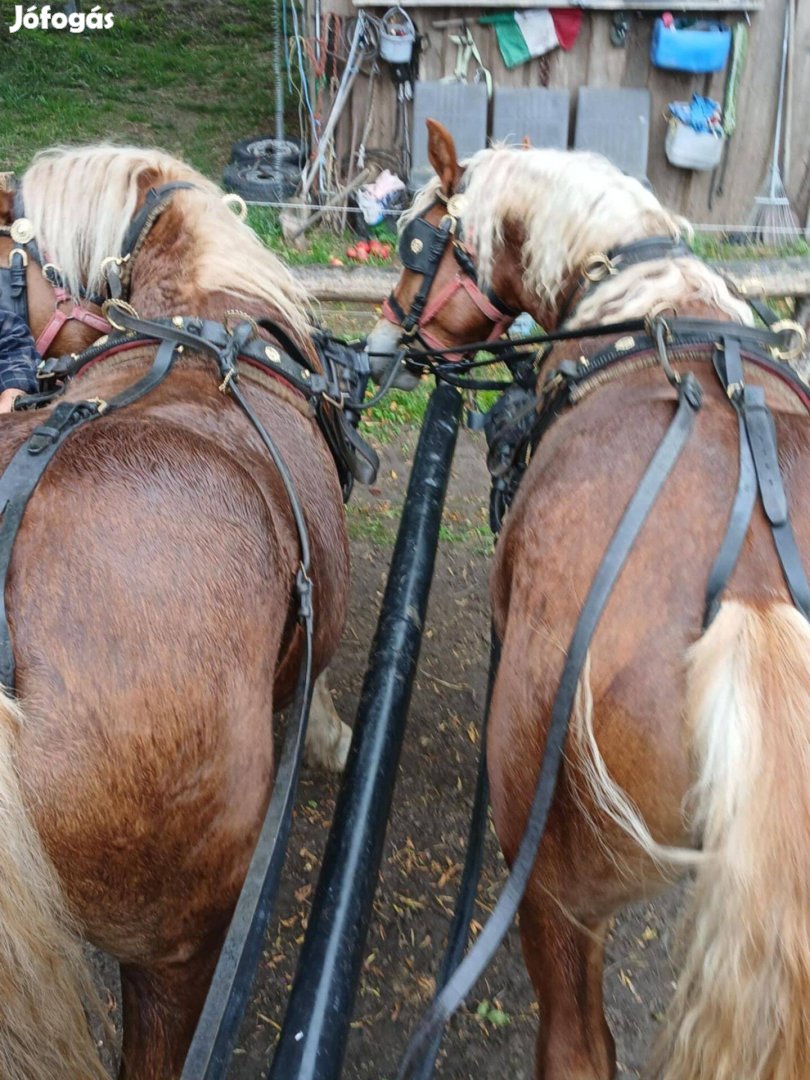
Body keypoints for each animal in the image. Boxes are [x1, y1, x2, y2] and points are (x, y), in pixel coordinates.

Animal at [371, 122, 810, 1080]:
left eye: (418, 241)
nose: (385, 342)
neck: (647, 301)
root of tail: (753, 595)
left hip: (554, 883)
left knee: (577, 1045)